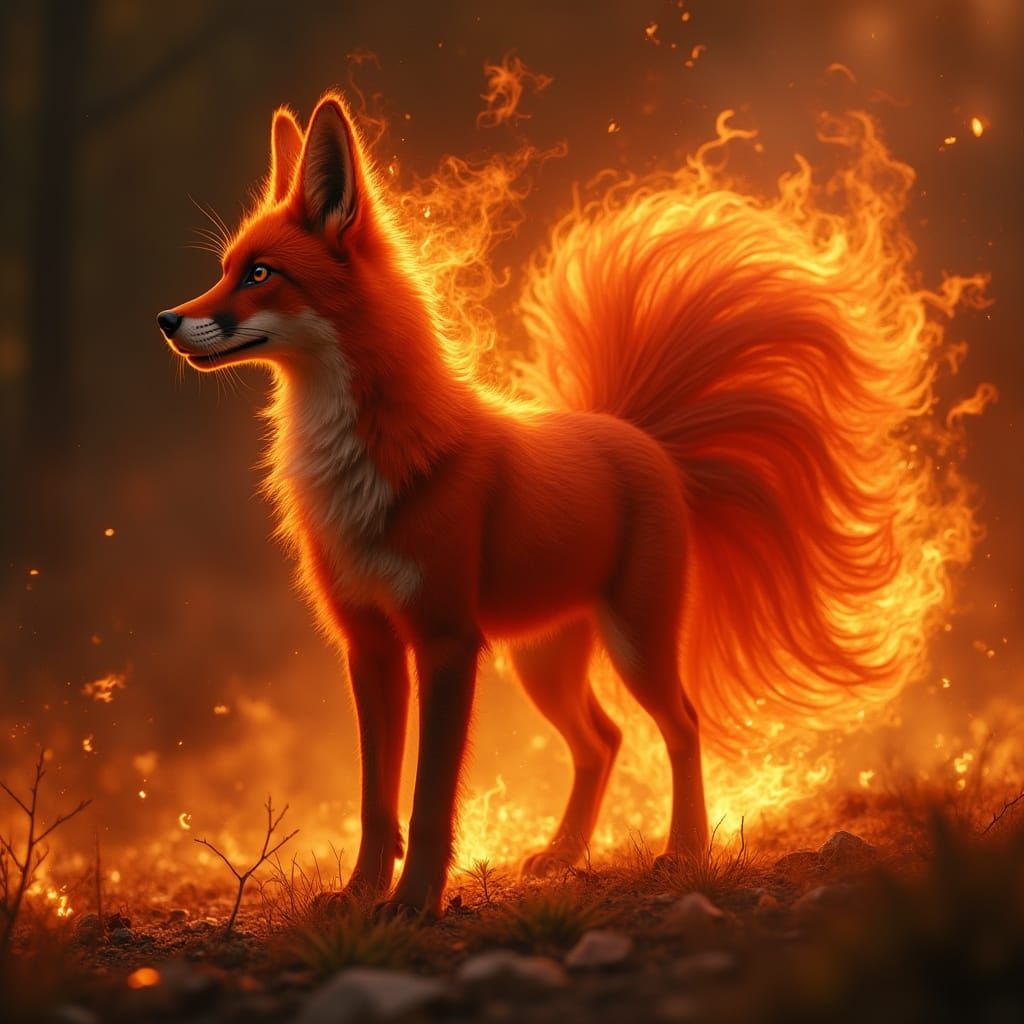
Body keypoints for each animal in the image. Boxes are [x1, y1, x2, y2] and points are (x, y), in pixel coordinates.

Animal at [158, 94, 912, 915]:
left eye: (260, 274)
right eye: (224, 270)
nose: (166, 320)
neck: (366, 461)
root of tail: (637, 433)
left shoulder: (447, 642)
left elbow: (428, 800)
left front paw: (414, 903)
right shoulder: (370, 646)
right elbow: (375, 799)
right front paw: (362, 894)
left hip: (635, 642)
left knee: (682, 726)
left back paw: (684, 852)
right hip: (543, 662)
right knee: (604, 741)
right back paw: (566, 853)